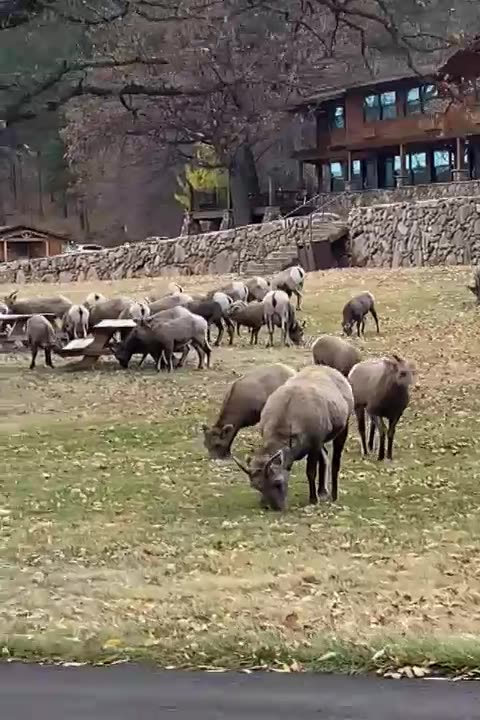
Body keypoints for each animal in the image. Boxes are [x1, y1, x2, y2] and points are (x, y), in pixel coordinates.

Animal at [233, 365, 354, 510]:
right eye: (256, 486)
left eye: (278, 482)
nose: (274, 508)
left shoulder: (315, 442)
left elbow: (310, 471)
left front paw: (313, 499)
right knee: (325, 456)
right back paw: (322, 491)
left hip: (343, 427)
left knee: (335, 461)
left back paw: (333, 495)